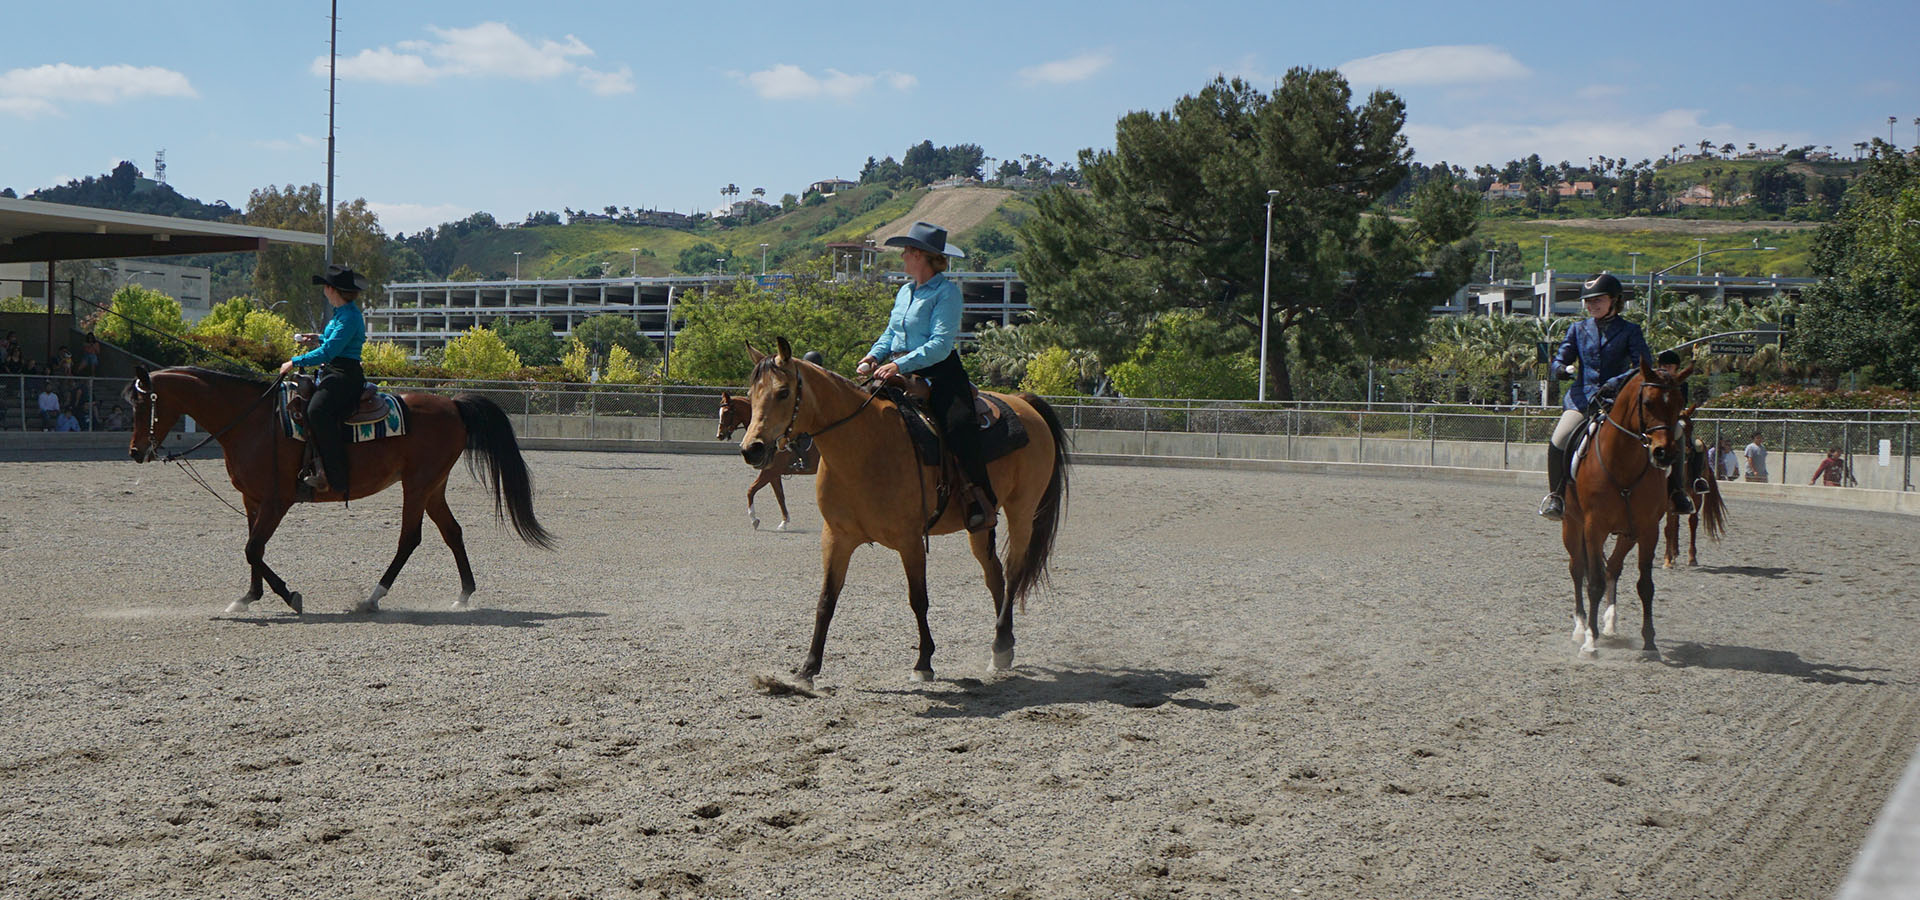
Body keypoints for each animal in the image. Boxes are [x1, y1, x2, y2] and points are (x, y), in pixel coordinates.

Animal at [128, 362, 556, 610]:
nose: (135, 452)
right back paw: (464, 593)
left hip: (417, 485)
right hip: (433, 486)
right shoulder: (252, 500)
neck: (254, 421)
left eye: (144, 403)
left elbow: (252, 549)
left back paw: (374, 596)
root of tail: (452, 404)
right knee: (452, 532)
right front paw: (249, 597)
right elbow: (253, 549)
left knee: (410, 538)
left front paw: (290, 596)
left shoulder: (278, 500)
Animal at [714, 389, 817, 529]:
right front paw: (784, 522)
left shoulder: (769, 471)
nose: (719, 435)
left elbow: (751, 490)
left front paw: (754, 519)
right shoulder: (774, 474)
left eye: (726, 412)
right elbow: (780, 496)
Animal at [733, 337, 1075, 686]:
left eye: (783, 392)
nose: (752, 449)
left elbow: (918, 599)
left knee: (1014, 571)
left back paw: (1001, 647)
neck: (864, 446)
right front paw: (808, 668)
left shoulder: (910, 540)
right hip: (981, 524)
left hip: (1022, 511)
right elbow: (826, 600)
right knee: (994, 575)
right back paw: (1002, 647)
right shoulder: (837, 537)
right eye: (751, 394)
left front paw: (923, 662)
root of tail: (1023, 402)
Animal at [1559, 360, 1697, 656]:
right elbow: (1594, 583)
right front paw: (1590, 642)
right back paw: (1581, 627)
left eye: (1679, 402)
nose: (1664, 453)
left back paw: (1610, 623)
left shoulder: (1647, 530)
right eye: (1647, 402)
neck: (1623, 463)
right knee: (1578, 569)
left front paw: (1650, 642)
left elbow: (1645, 586)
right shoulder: (1593, 527)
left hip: (1628, 533)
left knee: (1613, 567)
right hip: (1572, 525)